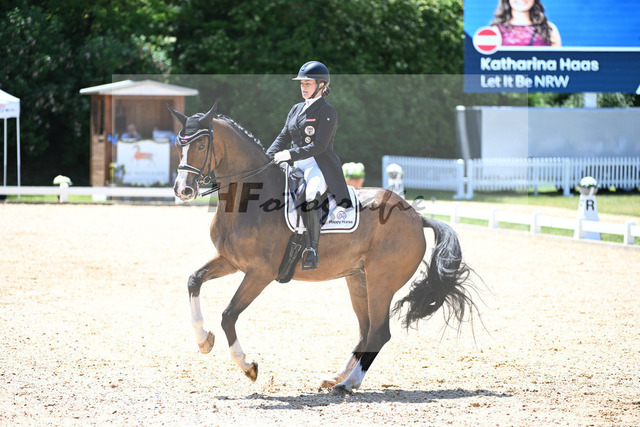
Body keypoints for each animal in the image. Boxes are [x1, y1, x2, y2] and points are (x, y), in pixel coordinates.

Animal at [168, 104, 478, 393]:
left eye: (201, 145)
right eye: (179, 145)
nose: (183, 190)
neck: (249, 199)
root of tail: (415, 216)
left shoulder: (260, 273)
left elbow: (229, 315)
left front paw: (248, 367)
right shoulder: (230, 261)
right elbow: (194, 280)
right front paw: (204, 341)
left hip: (381, 282)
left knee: (379, 333)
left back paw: (348, 384)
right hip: (358, 279)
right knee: (366, 331)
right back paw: (337, 378)